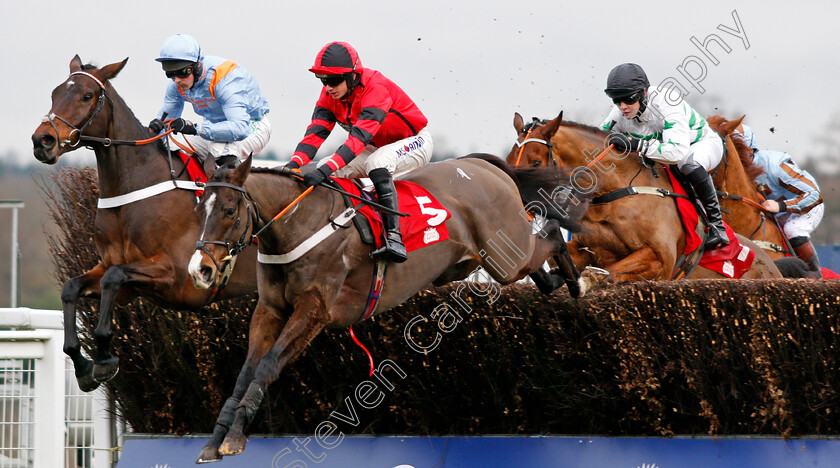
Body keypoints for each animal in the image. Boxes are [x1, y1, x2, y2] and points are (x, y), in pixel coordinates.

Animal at [31, 54, 258, 392]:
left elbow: (112, 279)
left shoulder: (176, 275)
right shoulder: (115, 270)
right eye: (54, 93)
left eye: (87, 95)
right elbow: (72, 287)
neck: (134, 190)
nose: (42, 140)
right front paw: (83, 365)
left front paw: (104, 358)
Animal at [188, 154, 588, 460]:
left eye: (228, 210)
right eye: (198, 211)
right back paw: (564, 280)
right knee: (542, 262)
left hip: (507, 258)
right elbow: (245, 372)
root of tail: (482, 164)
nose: (200, 269)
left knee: (551, 233)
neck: (299, 224)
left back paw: (578, 280)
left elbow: (268, 366)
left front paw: (234, 437)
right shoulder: (269, 310)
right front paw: (215, 440)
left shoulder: (314, 310)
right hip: (488, 260)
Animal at [506, 111, 780, 284]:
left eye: (535, 162)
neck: (613, 194)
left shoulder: (660, 259)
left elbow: (608, 272)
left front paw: (587, 282)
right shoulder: (587, 248)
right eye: (508, 161)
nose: (518, 207)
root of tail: (774, 269)